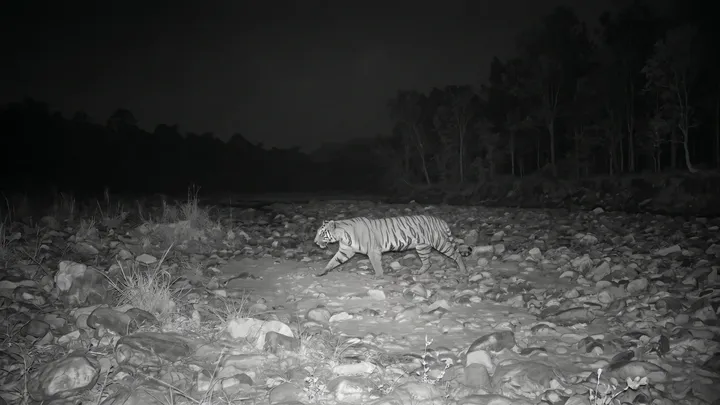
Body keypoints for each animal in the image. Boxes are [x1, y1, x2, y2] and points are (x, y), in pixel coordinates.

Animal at [313, 214, 470, 278]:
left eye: (322, 234)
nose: (314, 242)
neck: (343, 236)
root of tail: (440, 220)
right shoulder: (346, 251)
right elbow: (333, 261)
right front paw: (322, 272)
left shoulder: (373, 251)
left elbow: (376, 265)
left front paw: (378, 276)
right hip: (422, 247)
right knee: (428, 262)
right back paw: (419, 273)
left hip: (440, 243)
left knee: (456, 254)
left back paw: (463, 271)